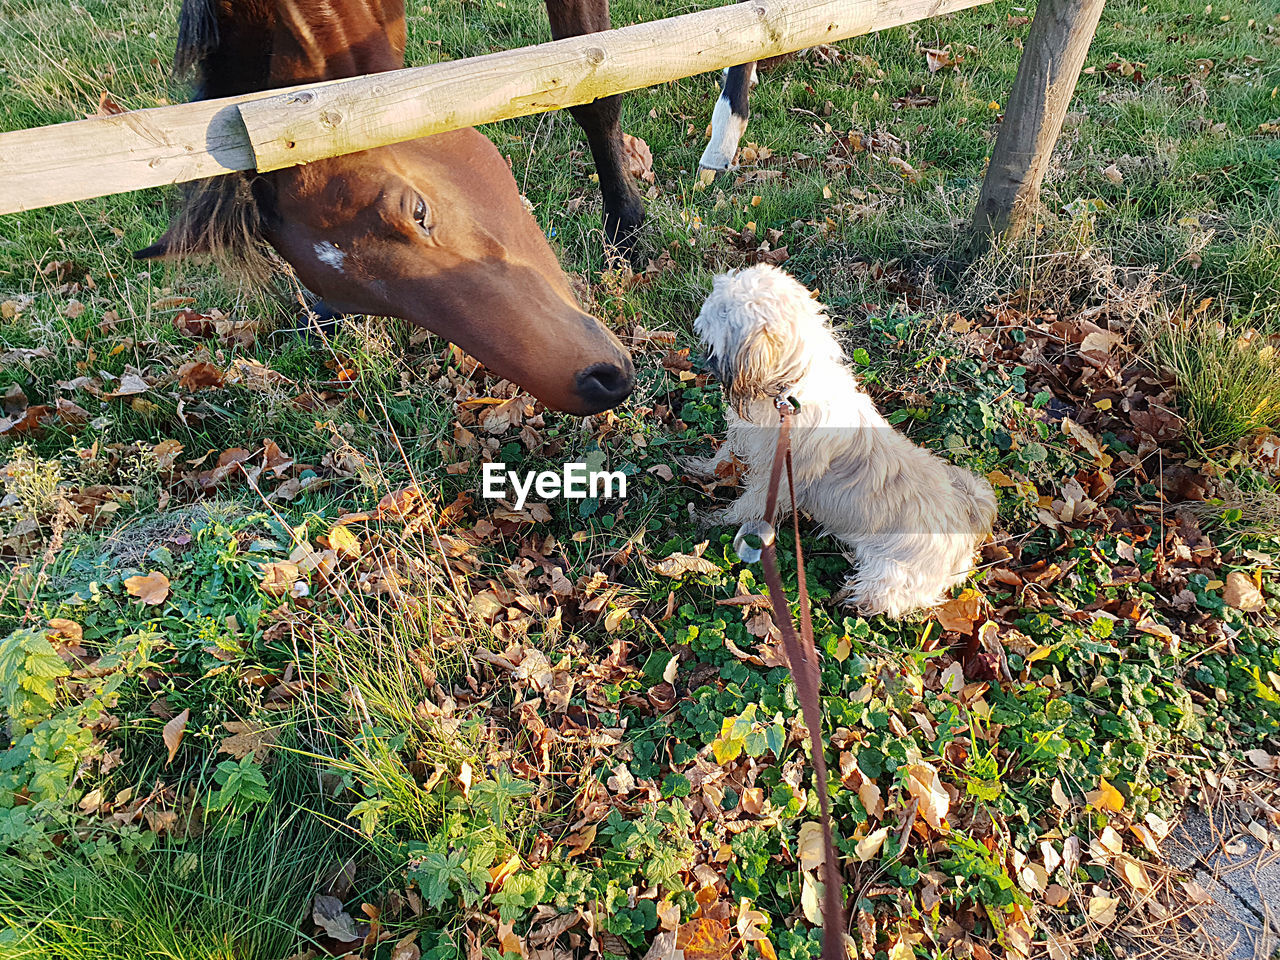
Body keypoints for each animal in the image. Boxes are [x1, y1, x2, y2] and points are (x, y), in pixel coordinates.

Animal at [696, 263, 993, 616]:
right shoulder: (745, 438)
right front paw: (702, 469)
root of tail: (967, 515)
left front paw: (715, 520)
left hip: (889, 577)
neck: (789, 393)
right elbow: (724, 456)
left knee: (879, 598)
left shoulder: (774, 481)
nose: (702, 309)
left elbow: (744, 508)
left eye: (724, 310)